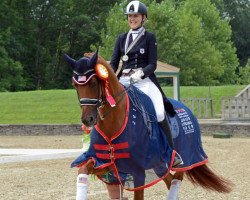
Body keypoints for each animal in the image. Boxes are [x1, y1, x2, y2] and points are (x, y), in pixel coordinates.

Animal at [64, 50, 232, 199]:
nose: (88, 119)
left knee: (176, 180)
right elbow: (83, 170)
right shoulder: (106, 163)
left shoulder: (138, 170)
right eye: (74, 85)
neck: (115, 120)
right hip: (159, 166)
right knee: (170, 181)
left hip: (185, 157)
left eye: (93, 82)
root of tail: (187, 110)